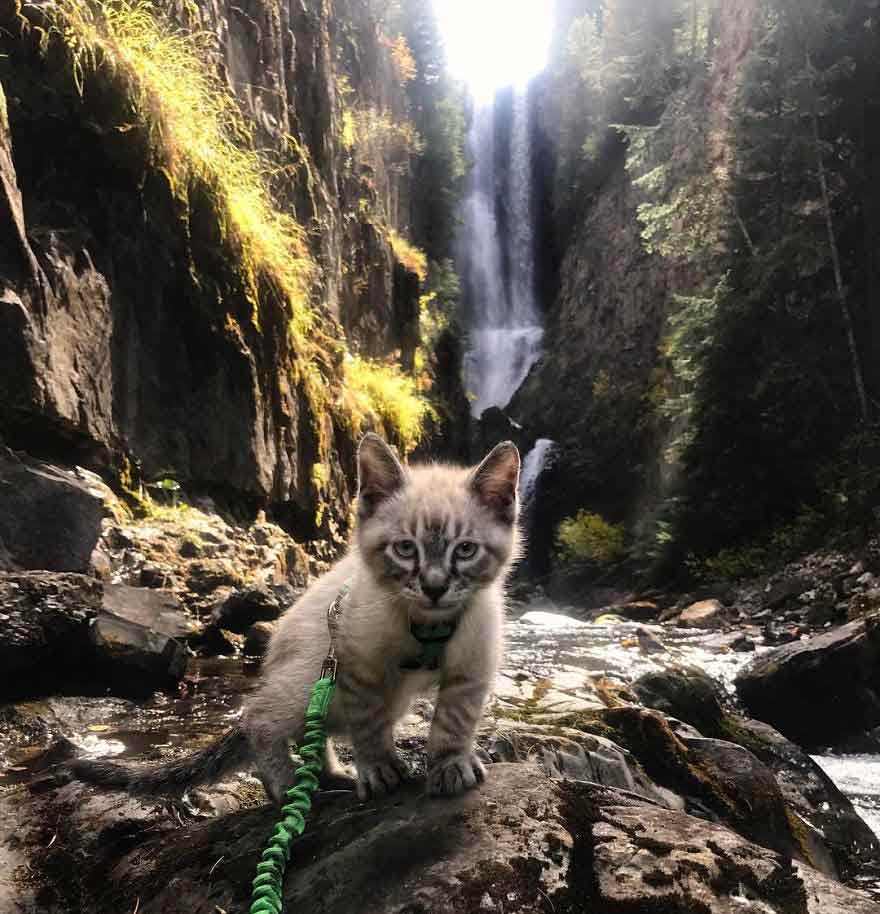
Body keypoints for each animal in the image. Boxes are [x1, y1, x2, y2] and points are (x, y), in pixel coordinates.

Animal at [72, 434, 524, 800]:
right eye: (405, 549)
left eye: (465, 550)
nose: (433, 587)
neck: (426, 623)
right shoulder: (359, 667)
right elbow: (369, 726)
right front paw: (379, 768)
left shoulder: (471, 669)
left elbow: (454, 721)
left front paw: (450, 765)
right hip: (316, 672)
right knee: (260, 717)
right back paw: (286, 785)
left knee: (311, 728)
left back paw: (330, 774)